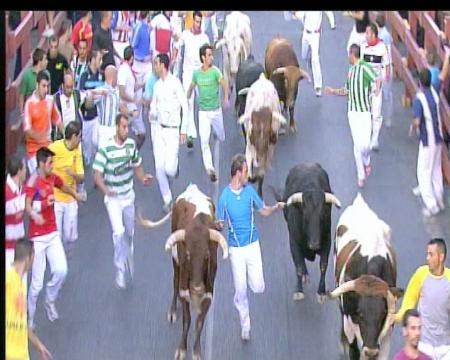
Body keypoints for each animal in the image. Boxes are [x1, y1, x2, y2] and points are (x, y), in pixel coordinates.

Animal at [137, 184, 229, 360]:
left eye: (207, 255)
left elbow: (199, 323)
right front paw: (181, 349)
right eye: (187, 254)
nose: (197, 288)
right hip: (175, 264)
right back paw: (173, 310)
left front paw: (197, 351)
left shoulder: (209, 294)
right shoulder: (184, 291)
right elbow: (187, 321)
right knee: (174, 283)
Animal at [270, 162, 342, 300]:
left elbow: (323, 266)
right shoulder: (293, 243)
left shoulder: (327, 241)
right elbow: (298, 266)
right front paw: (299, 291)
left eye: (322, 216)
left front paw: (321, 292)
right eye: (305, 217)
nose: (314, 244)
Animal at [326, 194, 404, 360]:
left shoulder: (387, 333)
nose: (371, 351)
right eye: (360, 314)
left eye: (382, 314)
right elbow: (353, 351)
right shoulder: (350, 327)